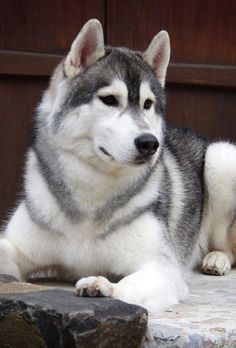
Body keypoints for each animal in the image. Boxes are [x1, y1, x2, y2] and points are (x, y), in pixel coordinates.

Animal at [0, 19, 236, 312]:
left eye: (148, 104)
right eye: (110, 99)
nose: (150, 143)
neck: (91, 193)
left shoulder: (162, 268)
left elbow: (128, 286)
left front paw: (104, 287)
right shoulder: (18, 246)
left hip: (221, 157)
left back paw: (217, 258)